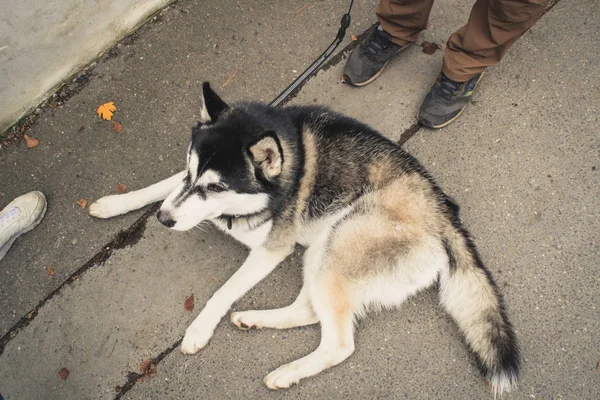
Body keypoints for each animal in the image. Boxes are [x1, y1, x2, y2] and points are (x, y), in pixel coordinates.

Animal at [89, 83, 520, 396]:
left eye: (216, 187)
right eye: (193, 172)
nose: (163, 220)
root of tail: (444, 215)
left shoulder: (270, 251)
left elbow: (222, 291)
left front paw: (198, 330)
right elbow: (161, 187)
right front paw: (114, 203)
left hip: (339, 244)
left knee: (339, 344)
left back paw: (286, 372)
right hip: (322, 250)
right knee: (309, 311)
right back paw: (254, 319)